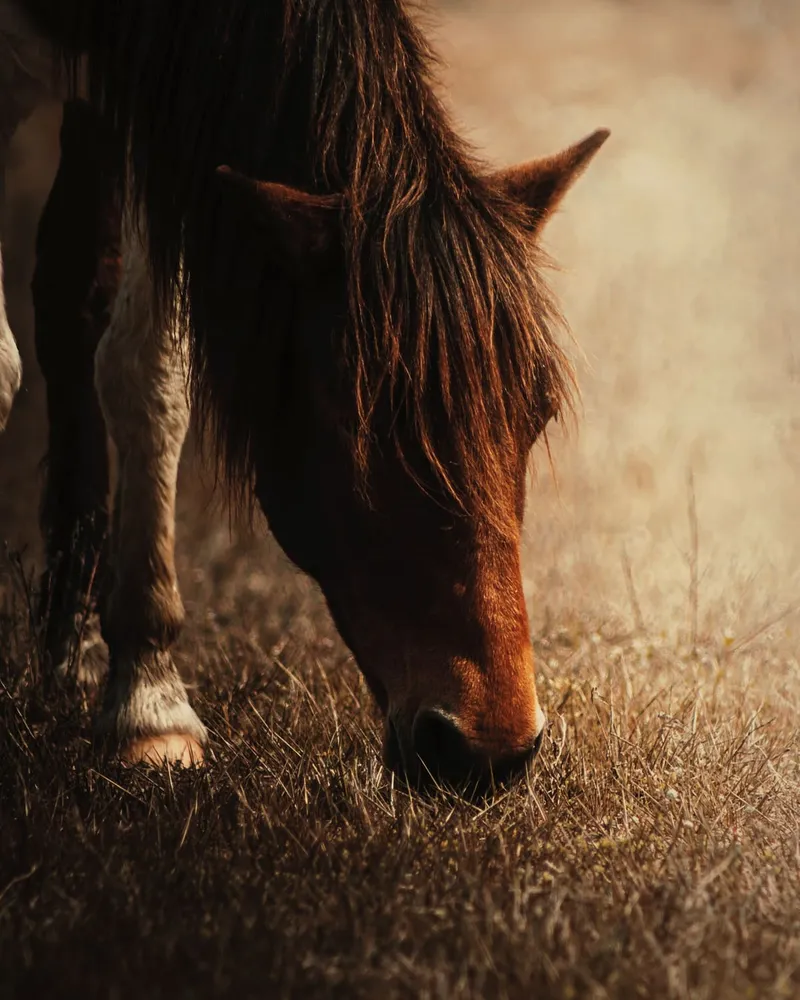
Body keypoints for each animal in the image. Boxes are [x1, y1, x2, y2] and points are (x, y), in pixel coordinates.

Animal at [1, 0, 608, 791]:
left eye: (538, 415)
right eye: (361, 428)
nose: (489, 751)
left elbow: (146, 369)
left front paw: (146, 704)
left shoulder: (150, 96)